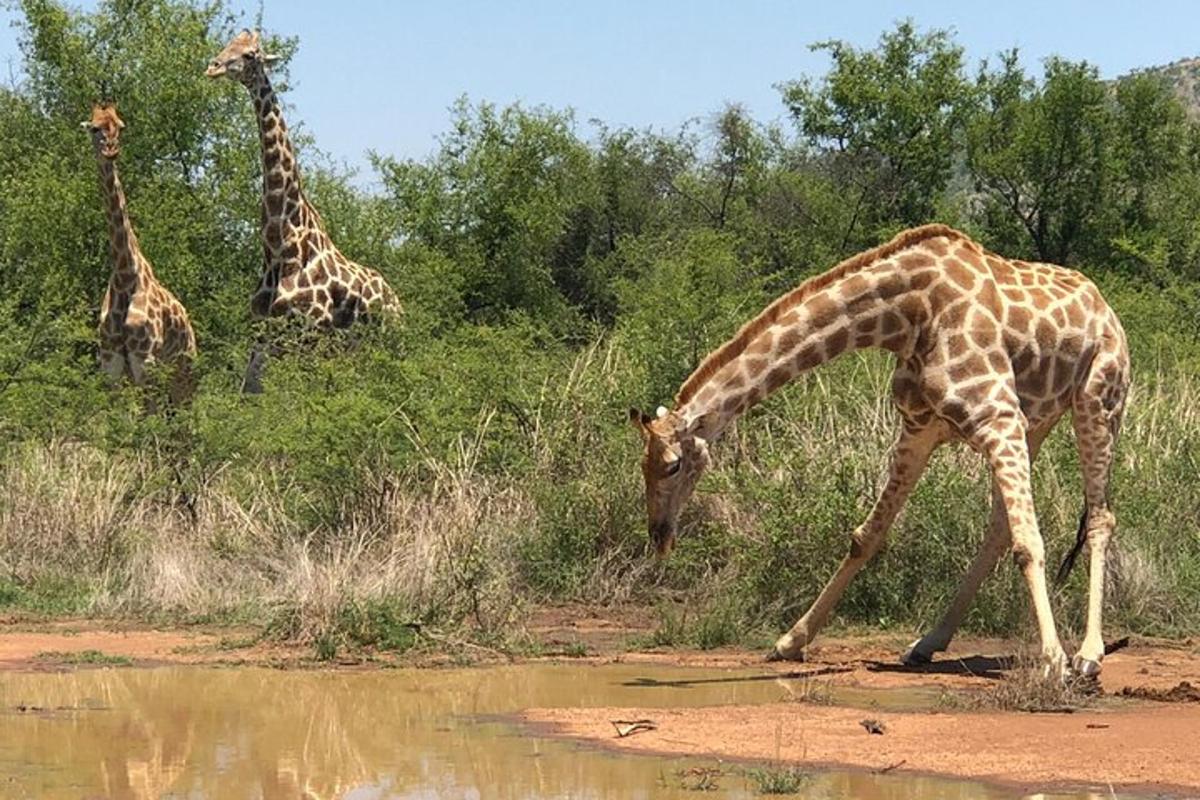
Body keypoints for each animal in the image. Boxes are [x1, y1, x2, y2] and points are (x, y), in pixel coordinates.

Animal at [83, 104, 194, 398]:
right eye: (94, 128)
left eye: (120, 126)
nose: (111, 150)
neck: (125, 275)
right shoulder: (112, 365)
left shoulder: (145, 360)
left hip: (184, 373)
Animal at [204, 29, 396, 326]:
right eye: (227, 45)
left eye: (250, 55)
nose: (213, 67)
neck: (279, 247)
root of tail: (396, 299)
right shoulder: (263, 324)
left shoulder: (313, 321)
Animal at [633, 224, 1128, 676]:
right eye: (644, 466)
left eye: (673, 465)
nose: (659, 535)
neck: (908, 315)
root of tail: (1107, 309)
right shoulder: (920, 429)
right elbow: (866, 536)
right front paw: (790, 641)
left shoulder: (997, 417)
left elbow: (1029, 543)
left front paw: (1053, 661)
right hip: (1038, 421)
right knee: (1000, 526)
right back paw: (928, 642)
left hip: (1098, 403)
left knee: (1099, 517)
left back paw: (1088, 654)